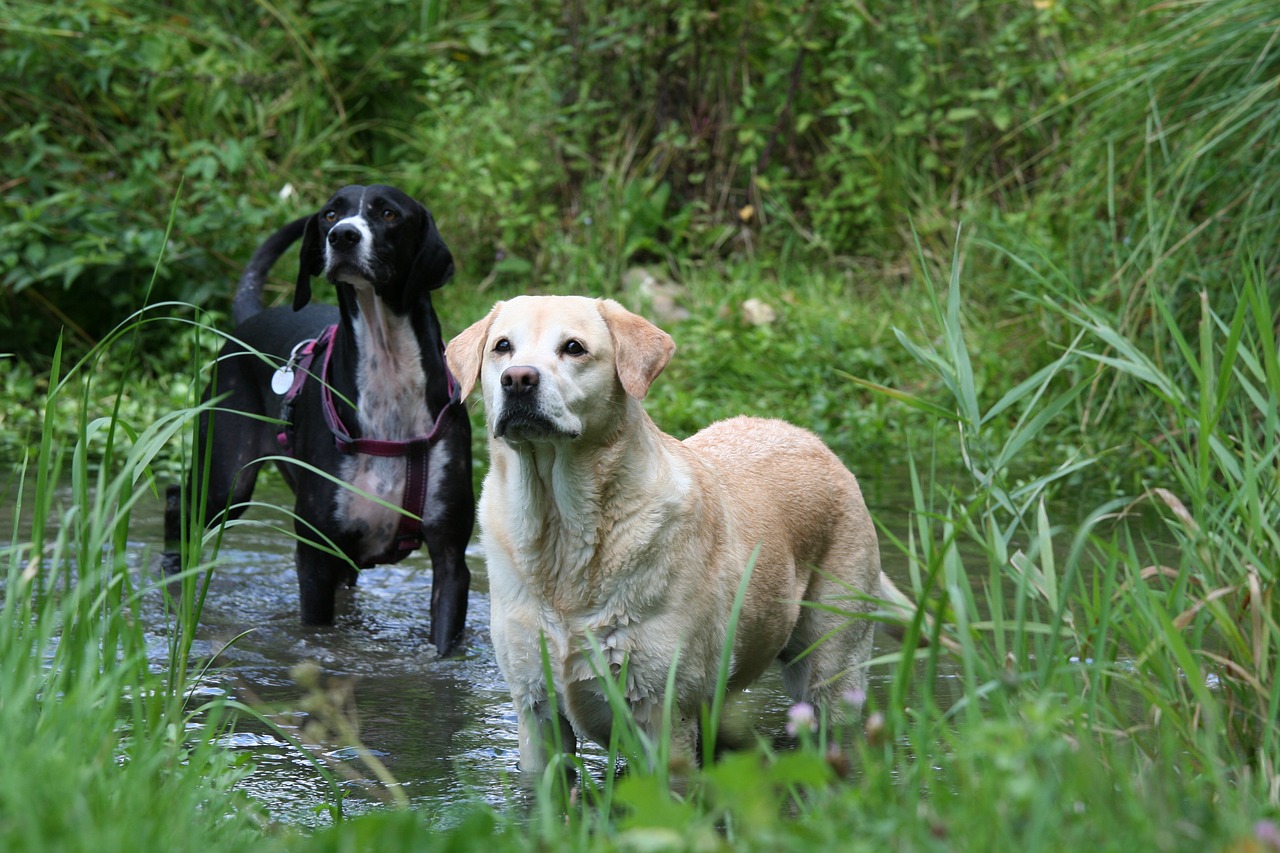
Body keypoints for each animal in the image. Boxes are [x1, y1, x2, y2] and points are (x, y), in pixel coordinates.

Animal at [165, 184, 476, 650]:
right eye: (331, 214)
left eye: (388, 213)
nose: (343, 236)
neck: (388, 369)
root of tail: (250, 319)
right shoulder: (315, 554)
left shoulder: (451, 555)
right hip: (224, 481)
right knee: (176, 503)